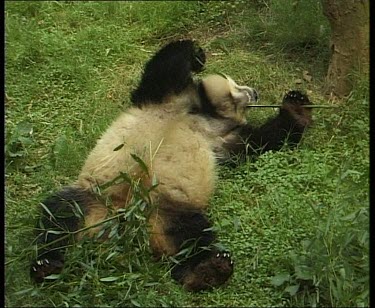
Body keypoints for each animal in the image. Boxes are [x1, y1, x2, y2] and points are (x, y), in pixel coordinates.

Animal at [30, 39, 314, 292]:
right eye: (235, 85)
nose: (253, 92)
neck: (204, 113)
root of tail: (128, 225)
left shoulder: (221, 141)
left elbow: (260, 141)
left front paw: (296, 107)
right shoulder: (165, 98)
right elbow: (163, 68)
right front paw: (198, 55)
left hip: (168, 210)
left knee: (191, 236)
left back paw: (206, 271)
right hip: (96, 195)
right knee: (58, 217)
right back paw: (46, 265)